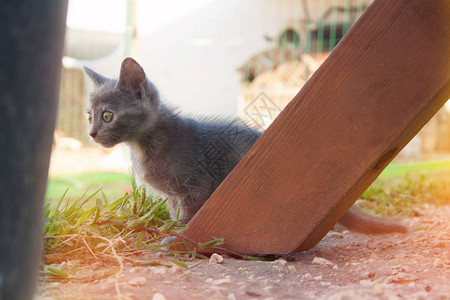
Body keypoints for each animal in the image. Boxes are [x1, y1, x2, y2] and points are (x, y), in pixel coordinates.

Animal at [84, 57, 408, 233]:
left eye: (108, 115)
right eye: (90, 115)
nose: (91, 133)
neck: (143, 147)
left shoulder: (196, 185)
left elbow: (188, 215)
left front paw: (177, 234)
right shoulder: (173, 197)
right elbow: (176, 213)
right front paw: (169, 227)